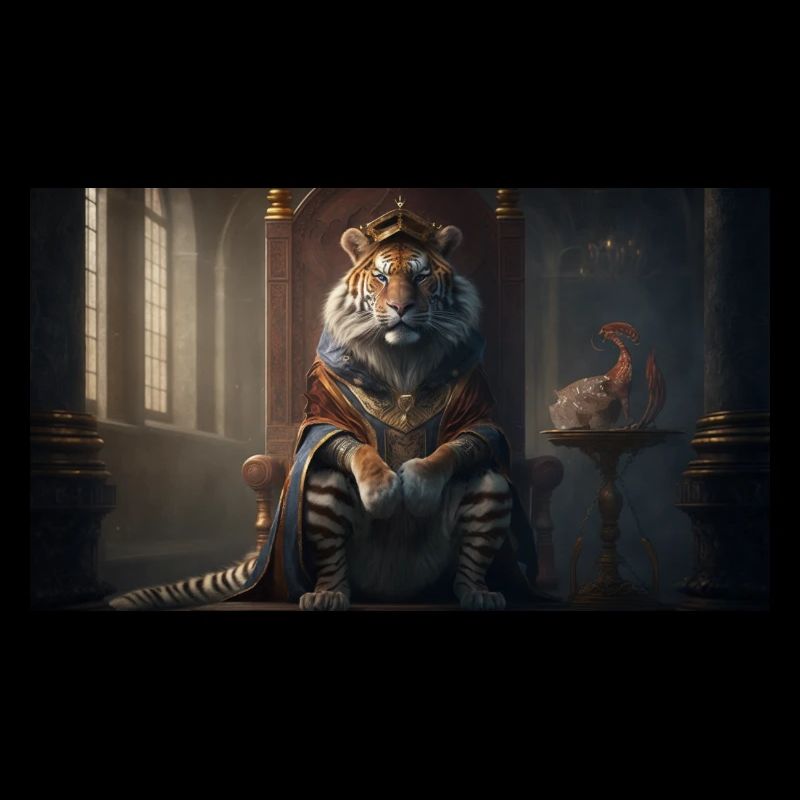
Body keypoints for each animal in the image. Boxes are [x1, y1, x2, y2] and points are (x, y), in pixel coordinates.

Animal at [110, 218, 531, 611]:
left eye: (421, 276)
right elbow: (351, 447)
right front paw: (383, 490)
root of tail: (396, 591)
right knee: (326, 498)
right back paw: (327, 594)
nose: (401, 308)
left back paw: (479, 593)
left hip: (489, 491)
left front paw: (416, 485)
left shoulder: (477, 403)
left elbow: (462, 444)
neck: (402, 358)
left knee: (485, 484)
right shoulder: (322, 412)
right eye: (380, 277)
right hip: (321, 494)